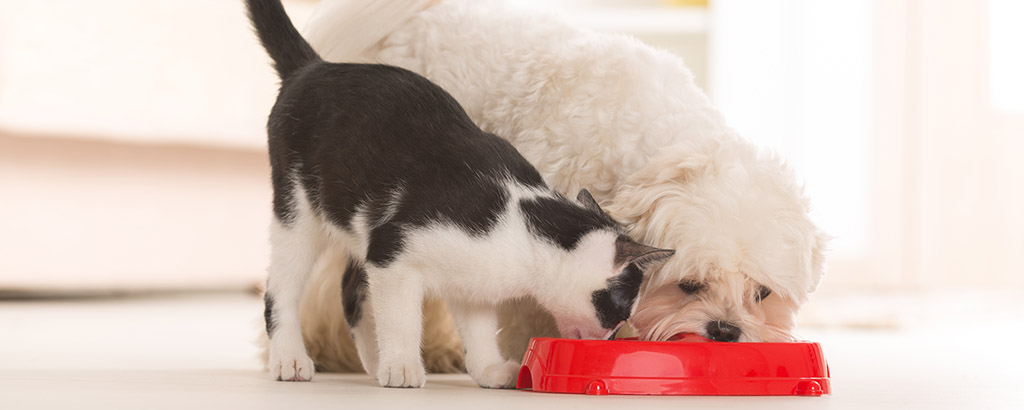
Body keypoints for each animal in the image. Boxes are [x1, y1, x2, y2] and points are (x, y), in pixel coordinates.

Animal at [244, 0, 675, 387]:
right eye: (620, 313)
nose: (613, 339)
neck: (521, 223)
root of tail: (314, 67)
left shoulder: (472, 285)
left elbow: (479, 329)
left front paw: (488, 370)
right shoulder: (392, 251)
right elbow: (401, 317)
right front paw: (403, 365)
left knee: (350, 288)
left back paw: (373, 359)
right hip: (299, 212)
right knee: (281, 288)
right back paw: (292, 359)